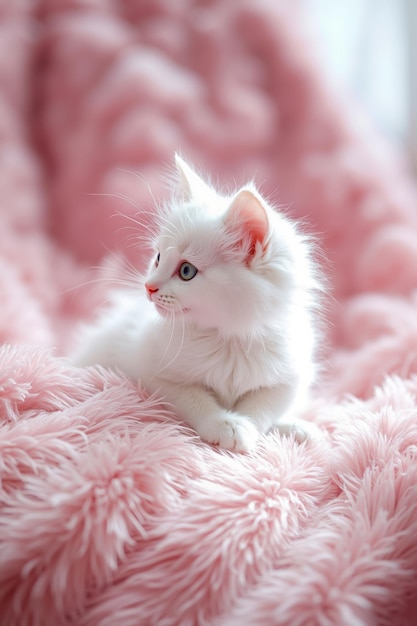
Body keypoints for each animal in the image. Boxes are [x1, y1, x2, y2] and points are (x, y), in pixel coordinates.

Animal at [73, 154, 322, 450]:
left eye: (186, 271)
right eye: (158, 258)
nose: (149, 287)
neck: (228, 340)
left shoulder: (291, 375)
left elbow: (264, 405)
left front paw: (254, 426)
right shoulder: (150, 370)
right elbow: (193, 398)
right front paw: (225, 424)